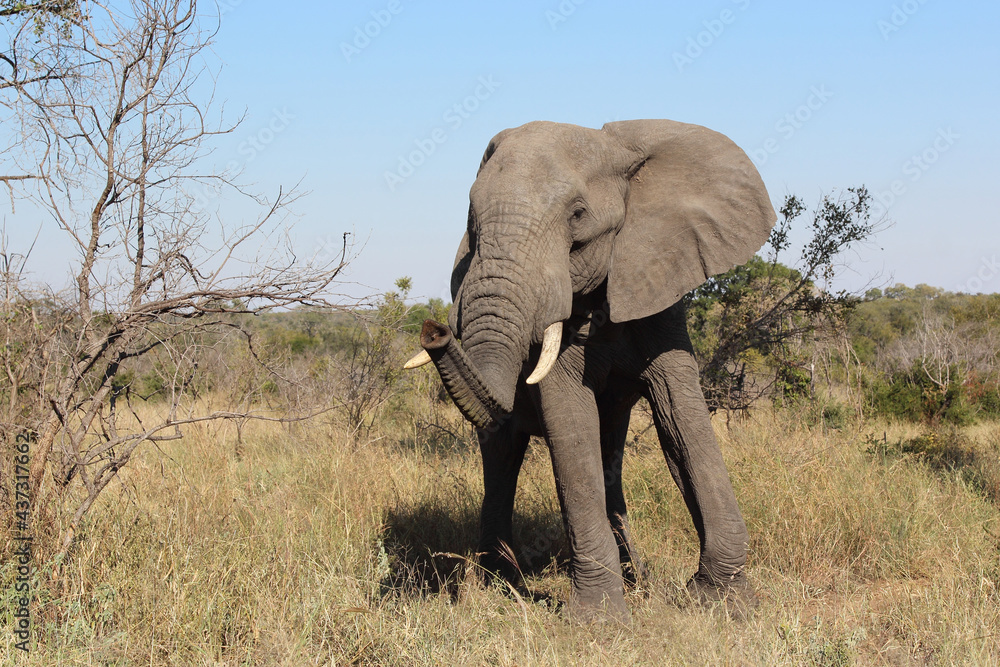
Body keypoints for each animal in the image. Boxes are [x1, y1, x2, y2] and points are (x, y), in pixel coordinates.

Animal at [404, 118, 772, 620]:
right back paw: (503, 583)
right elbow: (570, 425)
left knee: (607, 451)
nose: (434, 331)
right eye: (472, 221)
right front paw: (601, 620)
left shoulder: (658, 285)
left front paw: (723, 602)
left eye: (578, 216)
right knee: (502, 456)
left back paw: (637, 579)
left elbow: (681, 420)